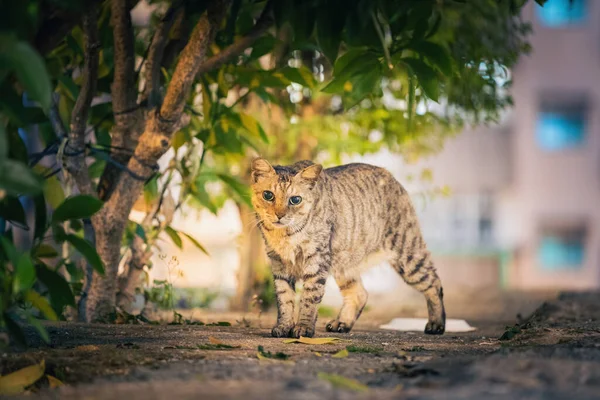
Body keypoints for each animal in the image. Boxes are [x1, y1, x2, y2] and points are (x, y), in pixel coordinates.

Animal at [250, 158, 446, 340]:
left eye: (295, 200)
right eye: (268, 195)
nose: (280, 215)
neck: (284, 236)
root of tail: (391, 176)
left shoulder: (317, 261)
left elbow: (309, 298)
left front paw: (303, 328)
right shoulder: (279, 265)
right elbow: (285, 299)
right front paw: (283, 326)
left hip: (408, 256)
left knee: (434, 283)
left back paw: (436, 324)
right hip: (344, 264)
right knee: (360, 294)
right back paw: (342, 323)